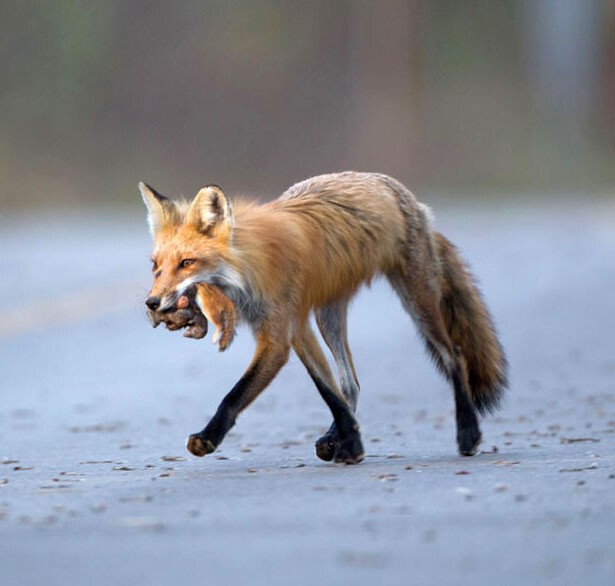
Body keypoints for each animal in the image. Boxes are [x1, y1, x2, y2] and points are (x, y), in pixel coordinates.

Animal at [141, 171, 510, 464]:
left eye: (187, 263)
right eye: (155, 266)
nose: (152, 303)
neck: (250, 269)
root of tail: (399, 190)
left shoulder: (279, 336)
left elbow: (234, 395)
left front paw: (209, 437)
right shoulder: (297, 329)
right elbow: (329, 390)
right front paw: (351, 442)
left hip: (417, 299)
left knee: (454, 356)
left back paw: (468, 433)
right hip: (327, 315)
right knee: (351, 383)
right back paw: (336, 437)